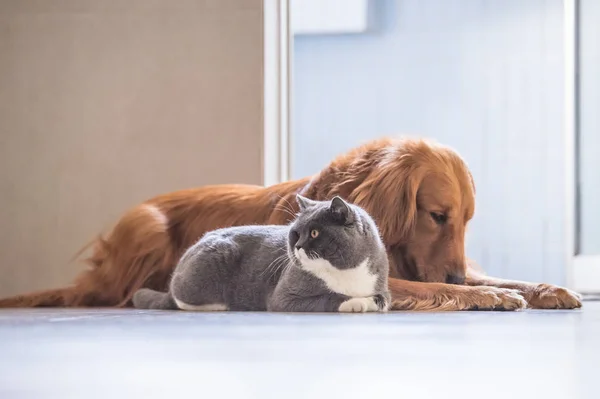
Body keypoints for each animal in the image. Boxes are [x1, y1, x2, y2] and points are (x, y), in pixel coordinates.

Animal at [134, 195, 392, 314]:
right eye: (295, 233)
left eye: (315, 233)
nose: (298, 246)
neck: (346, 271)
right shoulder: (285, 296)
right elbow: (328, 298)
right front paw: (357, 302)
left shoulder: (381, 283)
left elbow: (385, 299)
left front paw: (373, 301)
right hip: (204, 272)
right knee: (182, 298)